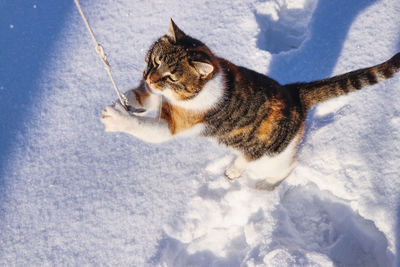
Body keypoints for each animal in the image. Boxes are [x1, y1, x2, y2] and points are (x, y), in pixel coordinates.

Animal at [101, 18, 400, 191]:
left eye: (172, 77)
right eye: (154, 60)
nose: (149, 78)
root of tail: (295, 93)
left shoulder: (174, 125)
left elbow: (146, 128)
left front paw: (118, 118)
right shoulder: (155, 94)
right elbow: (143, 97)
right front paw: (126, 99)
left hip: (274, 158)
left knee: (287, 166)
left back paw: (265, 187)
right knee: (246, 157)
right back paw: (235, 168)